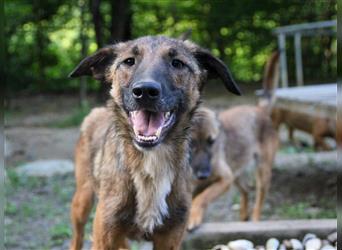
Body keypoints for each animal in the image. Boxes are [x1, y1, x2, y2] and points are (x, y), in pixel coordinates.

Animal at [69, 35, 240, 250]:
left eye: (177, 63)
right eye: (129, 61)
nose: (145, 91)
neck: (151, 163)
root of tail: (96, 112)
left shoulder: (170, 238)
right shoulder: (104, 236)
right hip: (82, 202)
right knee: (77, 236)